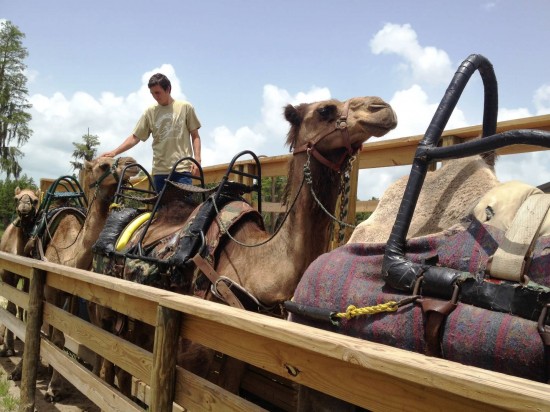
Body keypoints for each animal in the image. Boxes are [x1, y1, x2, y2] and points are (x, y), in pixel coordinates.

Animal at [27, 156, 140, 400]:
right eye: (104, 165)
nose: (132, 162)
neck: (68, 258)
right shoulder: (50, 289)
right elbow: (55, 336)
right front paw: (52, 388)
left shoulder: (73, 294)